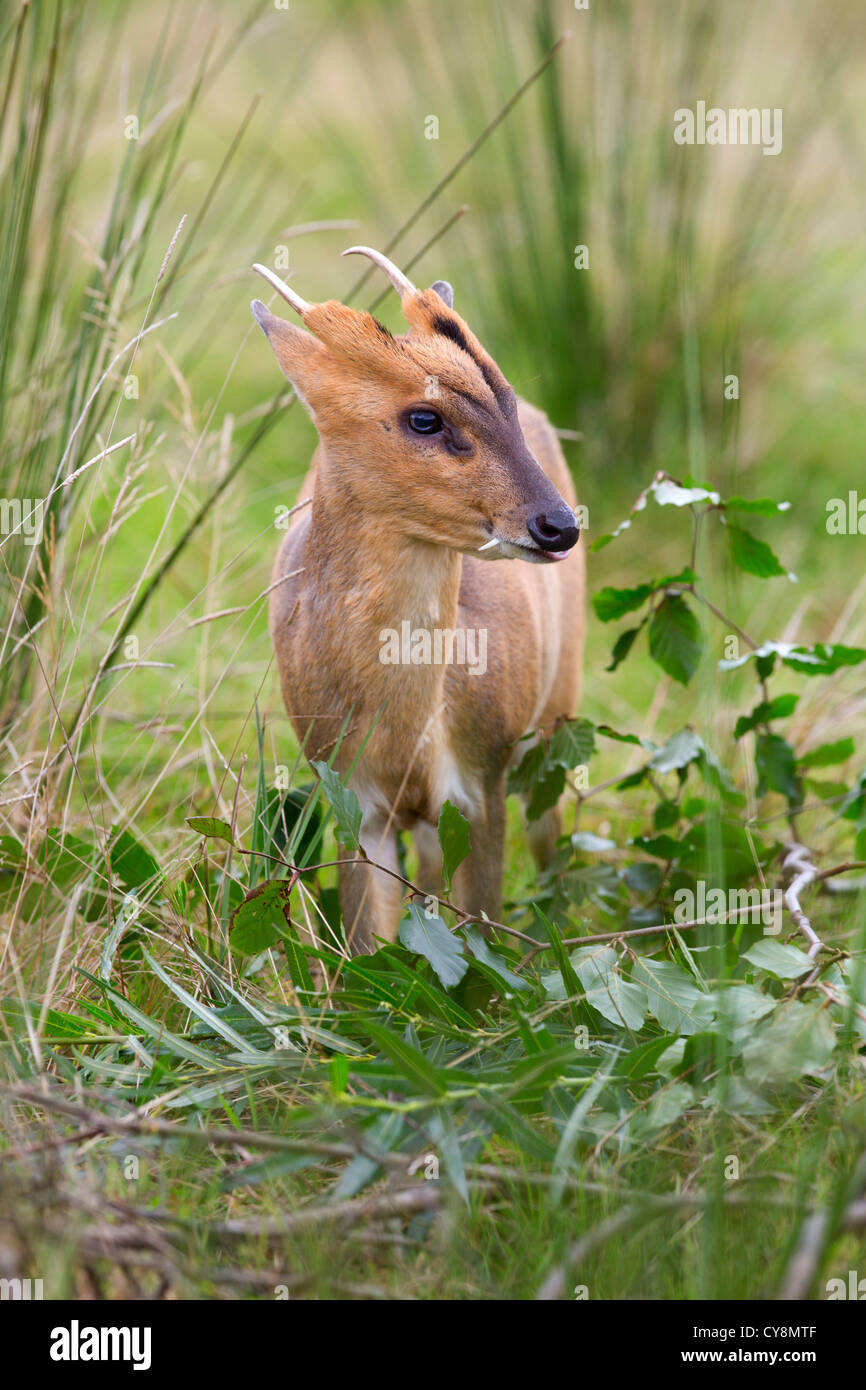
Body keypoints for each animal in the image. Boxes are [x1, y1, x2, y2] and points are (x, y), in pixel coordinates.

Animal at [254, 244, 586, 950]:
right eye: (424, 417)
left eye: (505, 400)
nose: (558, 526)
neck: (402, 737)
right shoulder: (348, 793)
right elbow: (366, 945)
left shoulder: (482, 779)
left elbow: (483, 934)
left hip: (554, 714)